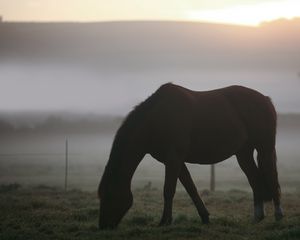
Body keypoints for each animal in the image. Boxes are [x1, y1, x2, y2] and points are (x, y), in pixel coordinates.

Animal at [98, 83, 284, 230]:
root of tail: (266, 99)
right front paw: (205, 217)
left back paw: (278, 216)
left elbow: (168, 190)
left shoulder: (173, 159)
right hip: (243, 153)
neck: (157, 119)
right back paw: (257, 217)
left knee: (272, 176)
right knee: (255, 180)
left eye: (108, 195)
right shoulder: (176, 162)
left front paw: (164, 222)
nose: (103, 226)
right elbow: (191, 189)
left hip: (264, 149)